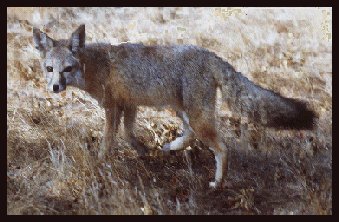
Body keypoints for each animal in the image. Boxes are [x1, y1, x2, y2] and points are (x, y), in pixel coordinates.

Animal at [33, 23, 318, 187]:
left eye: (67, 69)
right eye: (49, 69)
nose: (55, 87)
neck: (95, 66)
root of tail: (211, 55)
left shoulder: (113, 108)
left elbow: (109, 139)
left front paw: (100, 162)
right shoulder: (130, 105)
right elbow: (128, 133)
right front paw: (143, 150)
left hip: (196, 116)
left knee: (221, 147)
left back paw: (218, 182)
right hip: (185, 112)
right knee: (191, 135)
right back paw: (171, 147)